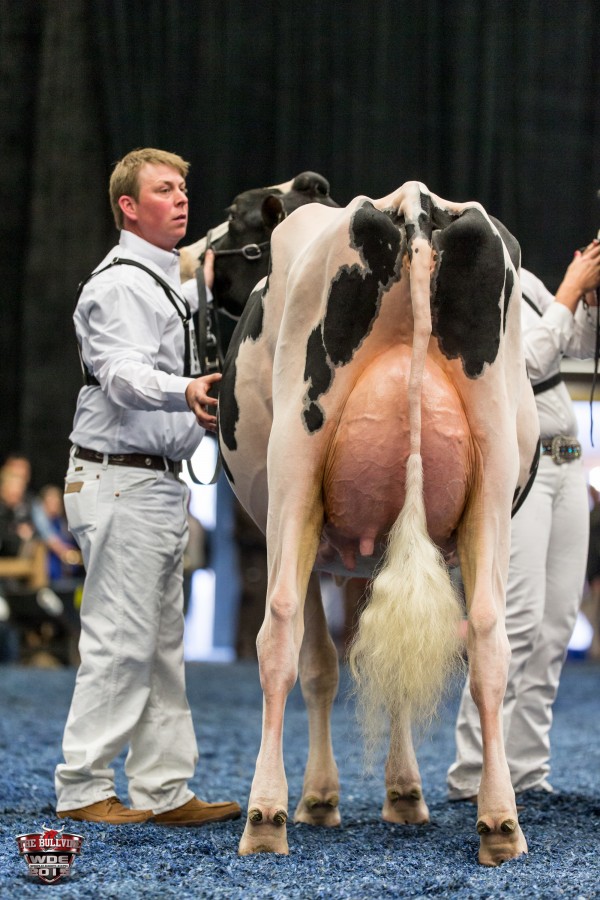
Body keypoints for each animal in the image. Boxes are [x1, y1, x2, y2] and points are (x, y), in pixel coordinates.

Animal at [217, 180, 540, 866]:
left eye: (232, 224)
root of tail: (412, 204)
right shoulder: (374, 550)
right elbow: (391, 659)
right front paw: (404, 794)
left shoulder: (311, 543)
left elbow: (320, 664)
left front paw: (321, 798)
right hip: (493, 473)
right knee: (488, 638)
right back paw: (500, 823)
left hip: (296, 469)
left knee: (278, 629)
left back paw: (265, 816)